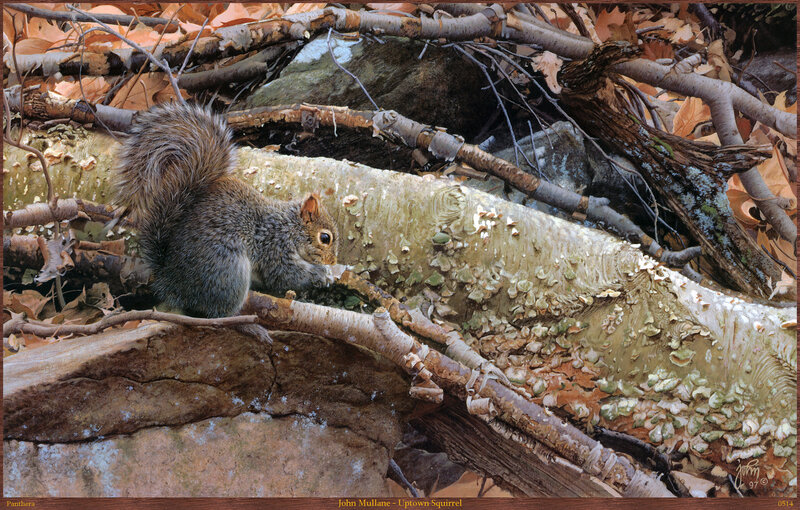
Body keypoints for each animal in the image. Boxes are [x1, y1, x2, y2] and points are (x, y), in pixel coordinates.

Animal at [113, 102, 339, 321]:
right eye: (325, 238)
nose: (333, 262)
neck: (290, 226)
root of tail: (170, 280)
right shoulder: (276, 246)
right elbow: (286, 274)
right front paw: (321, 274)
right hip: (229, 269)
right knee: (220, 312)